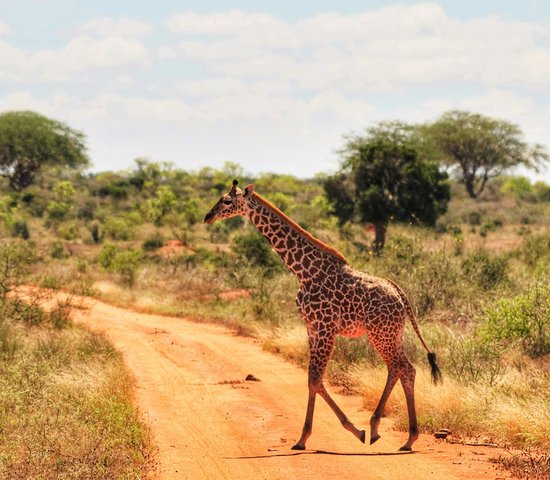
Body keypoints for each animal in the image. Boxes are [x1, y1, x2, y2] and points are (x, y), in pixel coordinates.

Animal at [205, 179, 442, 450]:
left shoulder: (325, 327)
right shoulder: (312, 327)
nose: (207, 216)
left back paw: (393, 433)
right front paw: (305, 438)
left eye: (227, 201)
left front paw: (349, 431)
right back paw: (398, 435)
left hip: (380, 334)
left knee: (402, 368)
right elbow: (313, 379)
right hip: (393, 334)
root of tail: (401, 296)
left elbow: (316, 378)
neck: (303, 271)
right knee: (402, 369)